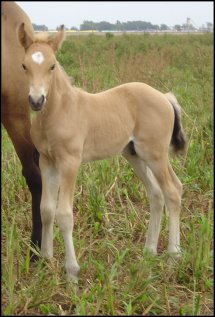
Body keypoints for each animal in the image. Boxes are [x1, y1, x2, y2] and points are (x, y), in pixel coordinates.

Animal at [18, 25, 186, 282]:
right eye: (24, 65)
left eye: (52, 66)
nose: (36, 100)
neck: (60, 110)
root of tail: (165, 97)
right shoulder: (47, 161)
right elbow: (46, 209)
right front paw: (46, 261)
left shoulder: (70, 162)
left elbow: (64, 214)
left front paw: (72, 273)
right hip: (134, 154)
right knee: (156, 194)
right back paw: (148, 252)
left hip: (155, 154)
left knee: (173, 190)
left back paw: (173, 257)